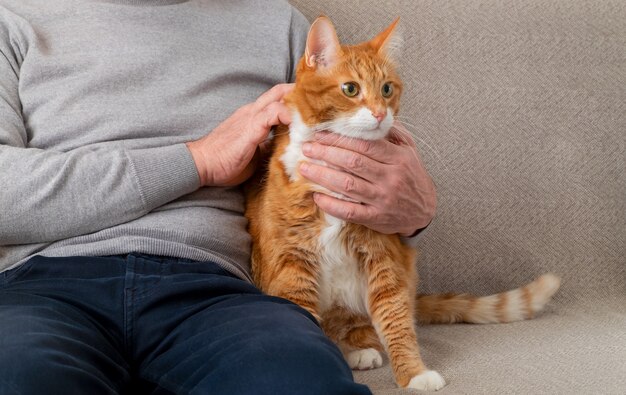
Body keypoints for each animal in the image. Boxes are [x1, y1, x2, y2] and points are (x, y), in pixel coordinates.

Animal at [245, 16, 560, 392]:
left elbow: (395, 318)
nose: (381, 114)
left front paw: (414, 373)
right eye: (350, 89)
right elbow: (304, 320)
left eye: (386, 89)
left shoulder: (383, 254)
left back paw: (358, 350)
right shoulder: (292, 262)